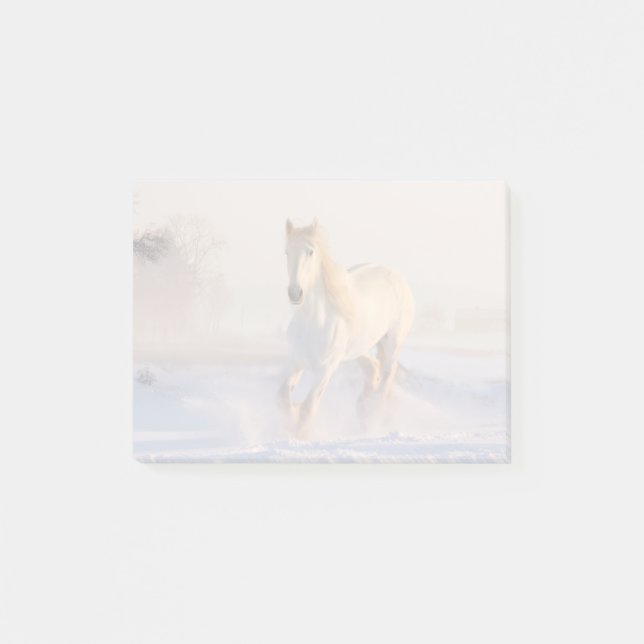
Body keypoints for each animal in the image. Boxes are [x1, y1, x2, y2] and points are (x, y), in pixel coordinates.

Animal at [279, 216, 415, 437]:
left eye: (310, 252)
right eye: (286, 252)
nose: (295, 293)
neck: (314, 322)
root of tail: (396, 276)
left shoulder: (326, 369)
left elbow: (308, 407)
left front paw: (300, 435)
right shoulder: (296, 361)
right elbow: (283, 397)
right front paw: (291, 417)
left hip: (392, 342)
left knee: (388, 374)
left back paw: (374, 413)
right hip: (358, 348)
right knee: (373, 367)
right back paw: (364, 408)